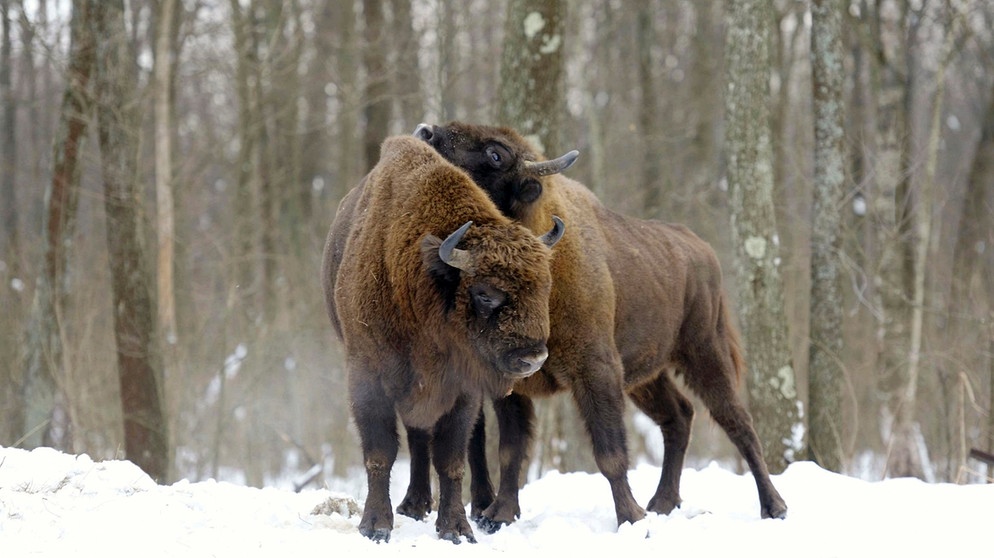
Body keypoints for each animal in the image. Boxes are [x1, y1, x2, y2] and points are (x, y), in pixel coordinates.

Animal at [322, 133, 560, 544]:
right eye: (485, 294)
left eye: (544, 287)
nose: (532, 358)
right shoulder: (367, 376)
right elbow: (381, 452)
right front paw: (375, 526)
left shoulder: (460, 389)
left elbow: (451, 456)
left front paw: (456, 529)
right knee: (415, 439)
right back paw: (412, 506)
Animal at [404, 122, 792, 532]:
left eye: (496, 154)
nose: (425, 132)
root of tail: (701, 250)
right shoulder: (512, 385)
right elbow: (511, 451)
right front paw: (500, 515)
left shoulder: (595, 370)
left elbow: (609, 452)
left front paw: (630, 518)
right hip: (646, 377)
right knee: (679, 416)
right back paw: (662, 503)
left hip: (704, 354)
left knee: (738, 423)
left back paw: (774, 506)